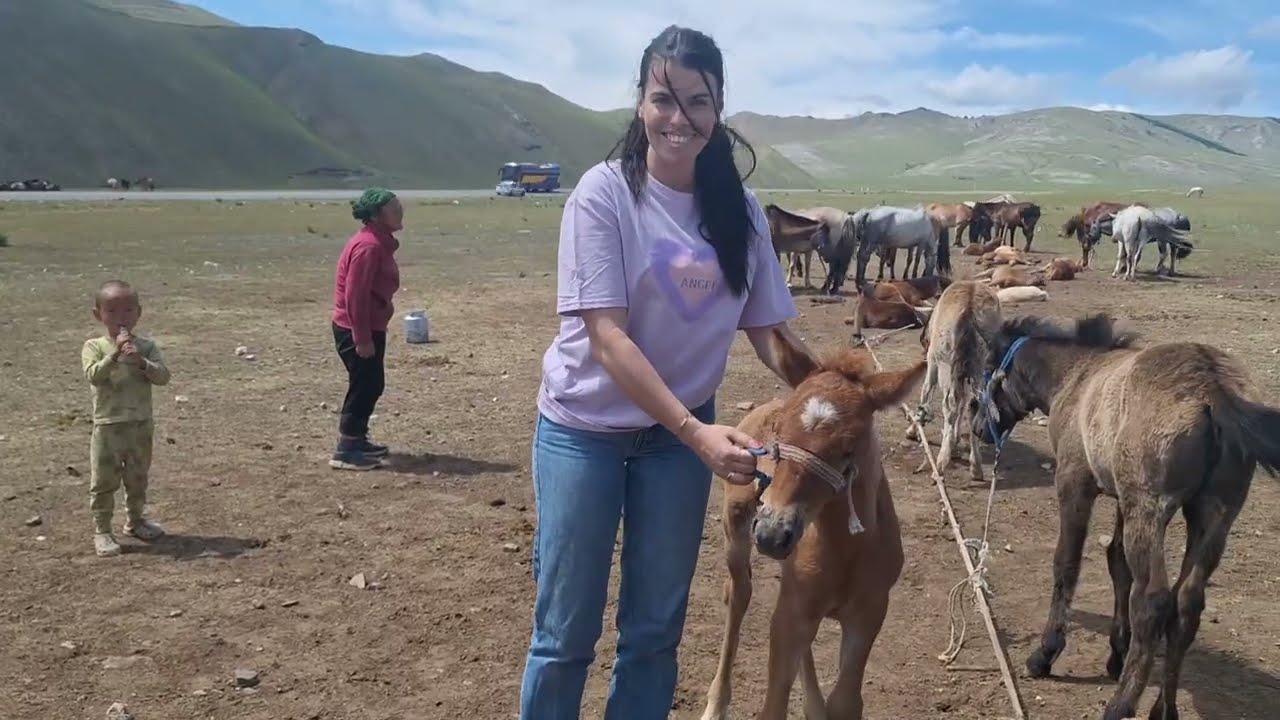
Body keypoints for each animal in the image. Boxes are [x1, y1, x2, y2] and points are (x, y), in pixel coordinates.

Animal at [700, 327, 926, 720]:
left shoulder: (869, 613)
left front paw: (821, 704)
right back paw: (716, 704)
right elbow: (773, 706)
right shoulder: (792, 615)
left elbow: (846, 702)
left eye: (849, 446)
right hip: (736, 528)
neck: (846, 553)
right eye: (780, 431)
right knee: (739, 594)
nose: (772, 533)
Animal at [969, 311, 1280, 720]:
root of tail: (1212, 388)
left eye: (988, 370)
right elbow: (1117, 563)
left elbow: (1066, 564)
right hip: (1212, 516)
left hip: (1150, 512)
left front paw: (1045, 654)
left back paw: (1120, 705)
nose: (978, 429)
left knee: (1153, 600)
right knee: (1187, 603)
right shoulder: (1121, 498)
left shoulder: (1074, 484)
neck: (1076, 377)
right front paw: (1117, 653)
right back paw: (1163, 709)